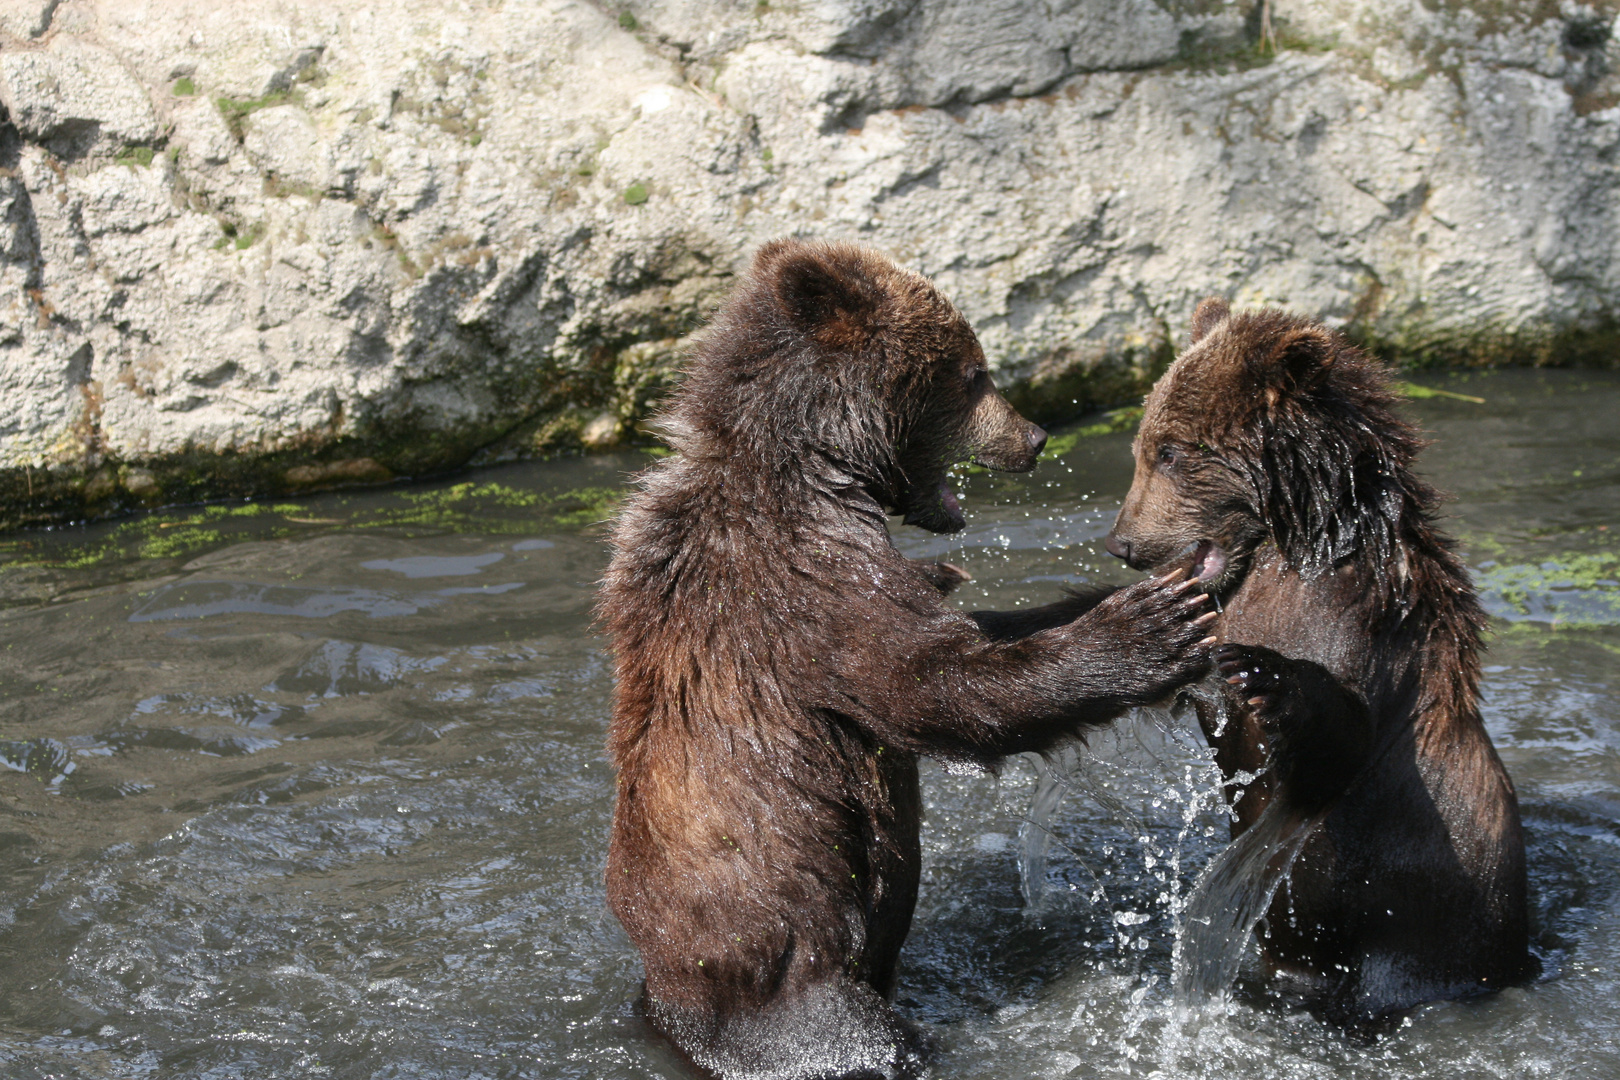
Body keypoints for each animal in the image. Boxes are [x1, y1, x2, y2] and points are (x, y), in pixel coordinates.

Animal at [599, 241, 1218, 1075]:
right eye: (974, 372)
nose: (1035, 437)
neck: (813, 463)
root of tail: (676, 999)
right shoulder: (804, 576)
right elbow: (929, 683)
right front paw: (1150, 627)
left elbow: (980, 633)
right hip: (800, 989)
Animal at [1101, 299, 1529, 1029]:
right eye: (1142, 445)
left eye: (1170, 451)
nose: (1124, 542)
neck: (1292, 549)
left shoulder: (1363, 636)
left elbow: (1340, 732)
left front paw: (1265, 676)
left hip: (1436, 919)